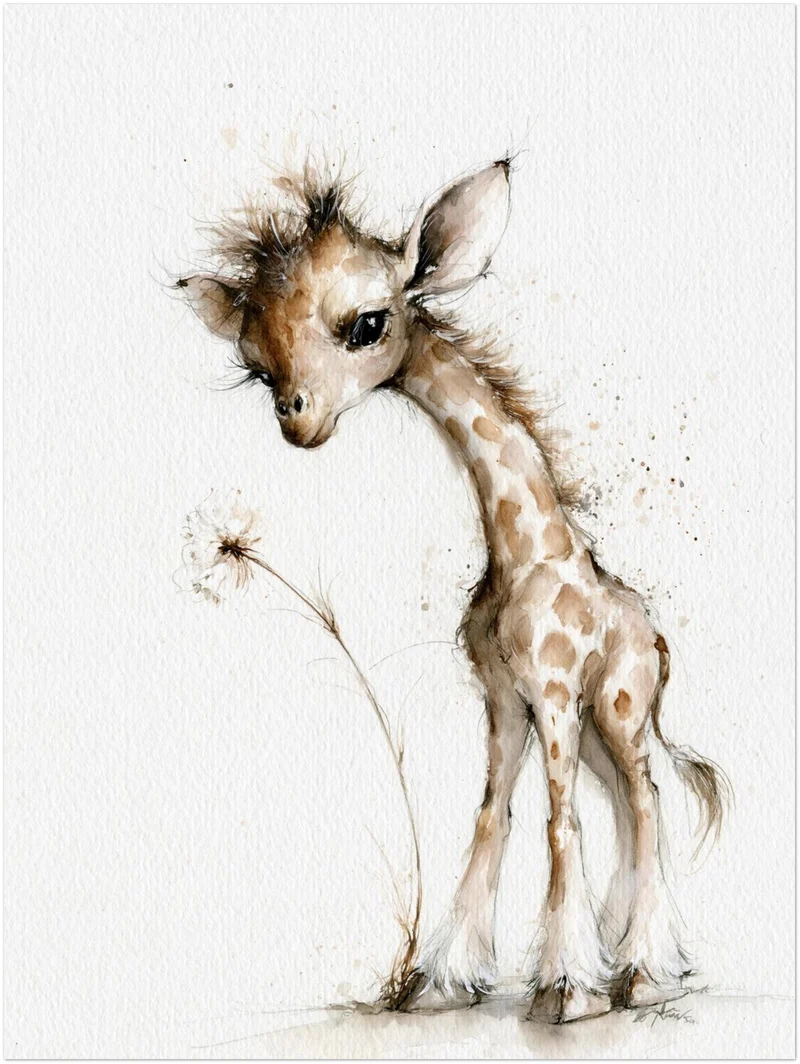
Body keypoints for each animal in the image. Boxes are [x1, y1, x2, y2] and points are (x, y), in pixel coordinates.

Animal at [178, 159, 729, 1023]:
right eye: (256, 365)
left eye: (367, 325)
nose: (297, 422)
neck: (520, 553)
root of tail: (659, 640)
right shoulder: (504, 699)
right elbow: (491, 818)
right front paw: (446, 982)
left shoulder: (552, 689)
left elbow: (558, 823)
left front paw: (564, 991)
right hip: (597, 725)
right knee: (626, 805)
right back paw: (633, 964)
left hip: (620, 706)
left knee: (645, 802)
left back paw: (643, 974)